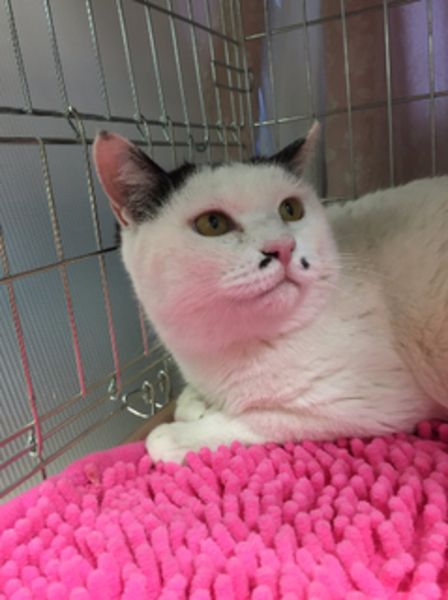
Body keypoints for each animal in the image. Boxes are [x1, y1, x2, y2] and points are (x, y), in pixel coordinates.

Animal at [93, 124, 448, 464]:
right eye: (212, 223)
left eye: (290, 209)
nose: (283, 246)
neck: (225, 349)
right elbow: (190, 400)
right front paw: (198, 403)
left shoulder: (365, 400)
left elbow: (256, 418)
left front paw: (181, 434)